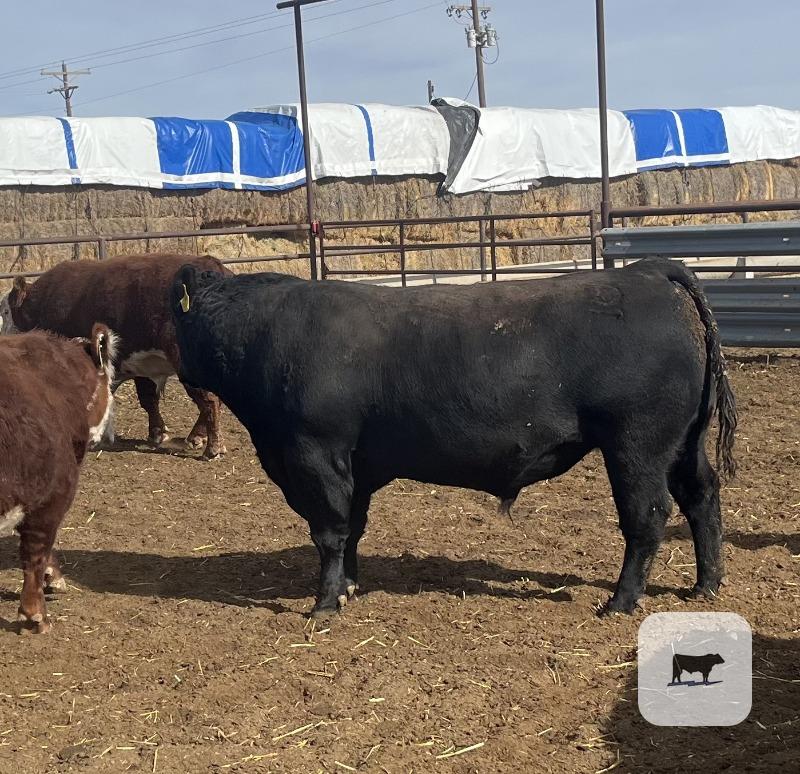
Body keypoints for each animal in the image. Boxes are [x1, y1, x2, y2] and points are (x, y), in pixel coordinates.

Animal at [0, 254, 230, 459]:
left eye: (4, 312)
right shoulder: (142, 365)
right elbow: (148, 399)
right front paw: (157, 433)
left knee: (209, 400)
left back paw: (213, 448)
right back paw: (197, 437)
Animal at [170, 257, 737, 618]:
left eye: (182, 320)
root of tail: (646, 271)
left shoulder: (315, 452)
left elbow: (329, 530)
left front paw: (325, 604)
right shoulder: (356, 463)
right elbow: (352, 529)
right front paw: (349, 586)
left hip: (637, 444)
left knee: (647, 515)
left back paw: (619, 602)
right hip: (684, 442)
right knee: (701, 497)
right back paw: (705, 584)